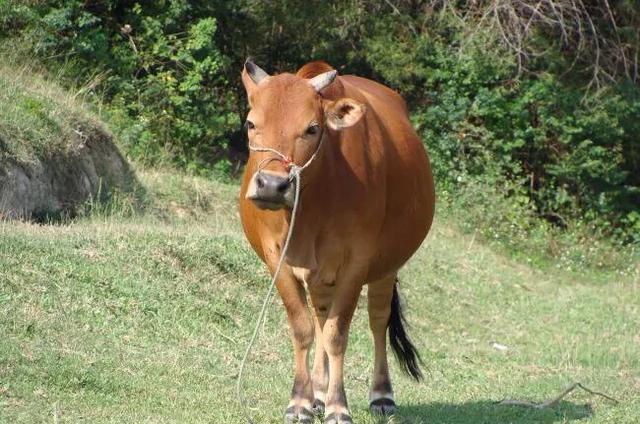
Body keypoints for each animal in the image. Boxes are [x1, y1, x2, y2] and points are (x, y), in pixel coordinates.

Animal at [240, 59, 436, 424]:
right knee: (319, 315)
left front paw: (337, 406)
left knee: (377, 319)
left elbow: (337, 333)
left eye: (312, 128)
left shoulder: (357, 262)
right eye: (251, 123)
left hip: (387, 267)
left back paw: (381, 395)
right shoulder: (277, 259)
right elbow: (303, 327)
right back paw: (317, 391)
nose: (272, 185)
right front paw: (301, 401)